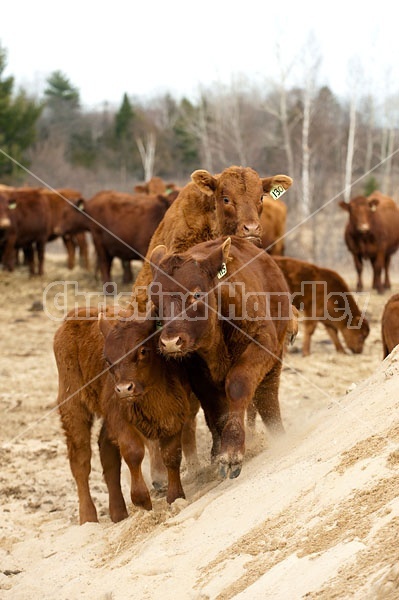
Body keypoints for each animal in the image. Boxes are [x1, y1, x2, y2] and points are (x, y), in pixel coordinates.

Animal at [148, 233, 292, 478]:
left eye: (196, 294)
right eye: (155, 300)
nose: (170, 342)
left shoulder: (261, 343)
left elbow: (238, 385)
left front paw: (232, 452)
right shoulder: (197, 373)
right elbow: (215, 409)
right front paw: (219, 452)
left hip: (274, 364)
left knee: (268, 400)